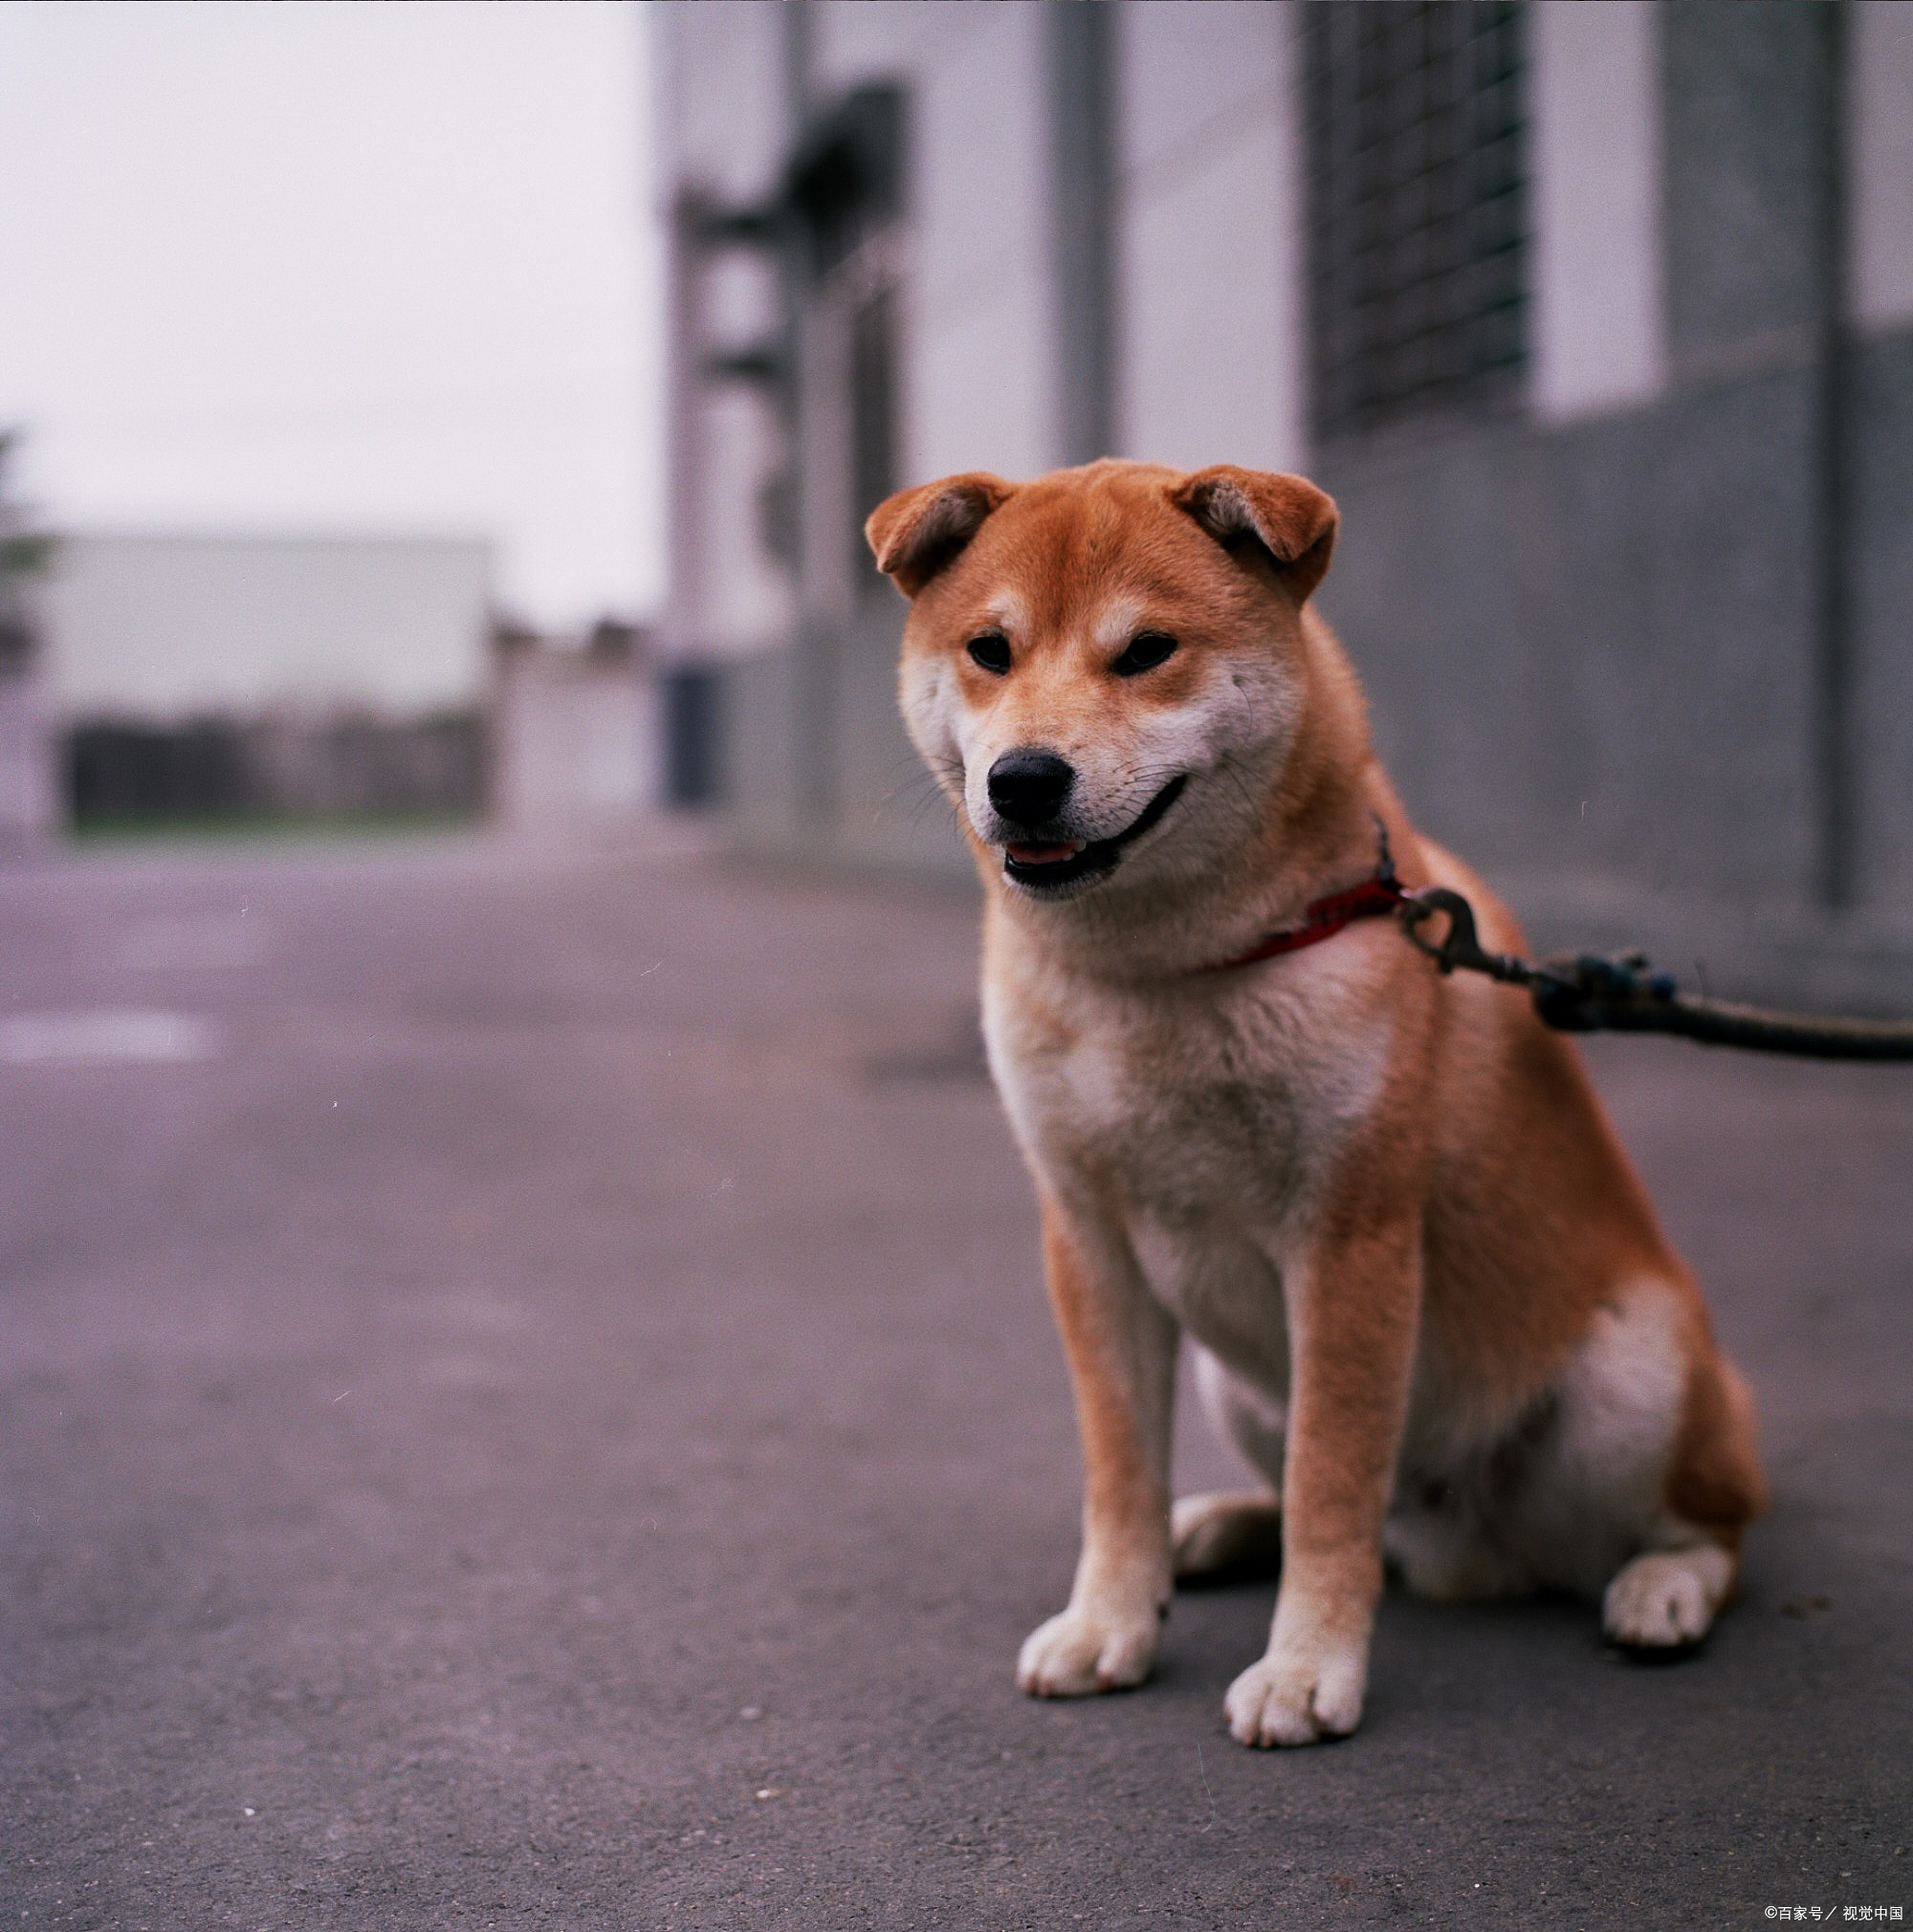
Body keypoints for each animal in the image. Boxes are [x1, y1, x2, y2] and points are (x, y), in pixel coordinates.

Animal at [869, 459, 1770, 1746]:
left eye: (1146, 652)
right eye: (990, 650)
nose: (1024, 779)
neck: (1168, 973)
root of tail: (1468, 1544)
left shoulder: (1348, 1240)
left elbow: (1329, 1487)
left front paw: (1307, 1668)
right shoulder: (1086, 1238)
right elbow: (1119, 1469)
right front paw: (1110, 1619)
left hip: (1630, 1380)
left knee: (1698, 1525)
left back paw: (1662, 1588)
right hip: (1238, 1378)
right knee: (1346, 1511)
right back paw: (1214, 1528)